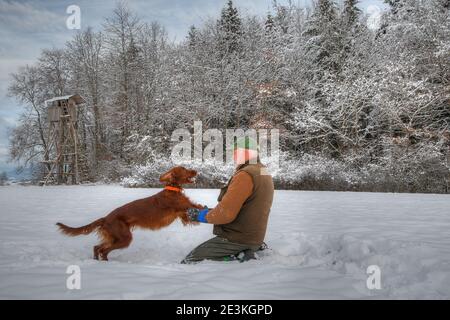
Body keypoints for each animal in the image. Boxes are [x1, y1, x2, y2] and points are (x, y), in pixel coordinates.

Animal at [57, 166, 203, 262]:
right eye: (184, 168)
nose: (195, 170)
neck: (172, 189)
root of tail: (106, 218)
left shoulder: (184, 215)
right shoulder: (183, 207)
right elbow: (198, 207)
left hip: (115, 237)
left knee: (97, 247)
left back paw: (96, 260)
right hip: (124, 237)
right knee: (103, 250)